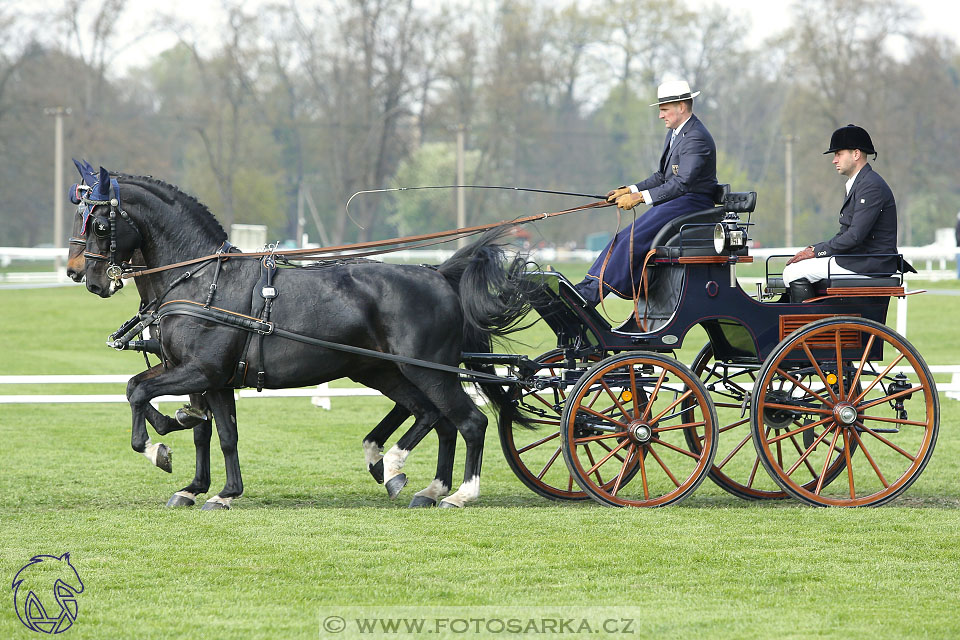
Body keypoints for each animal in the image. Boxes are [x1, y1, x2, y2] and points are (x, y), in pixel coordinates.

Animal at [79, 168, 536, 508]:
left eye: (99, 224)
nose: (88, 278)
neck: (202, 279)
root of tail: (438, 274)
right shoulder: (211, 379)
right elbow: (217, 432)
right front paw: (216, 489)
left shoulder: (200, 372)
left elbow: (139, 393)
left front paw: (159, 445)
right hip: (386, 372)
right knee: (435, 417)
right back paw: (416, 480)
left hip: (428, 371)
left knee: (468, 421)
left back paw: (452, 490)